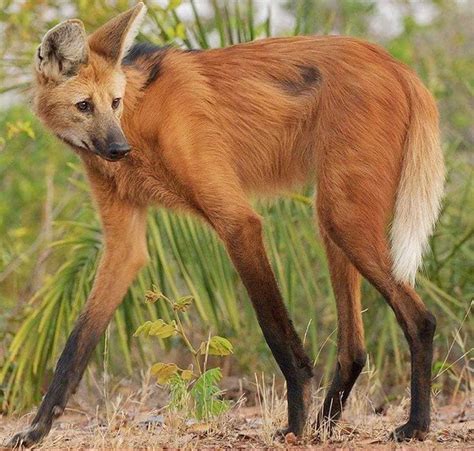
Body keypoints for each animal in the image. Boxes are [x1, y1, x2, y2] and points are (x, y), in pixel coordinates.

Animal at [7, 1, 444, 448]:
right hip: (333, 220)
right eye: (84, 106)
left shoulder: (238, 222)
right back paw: (327, 426)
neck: (141, 119)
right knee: (354, 348)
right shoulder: (123, 245)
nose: (117, 148)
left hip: (344, 219)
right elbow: (76, 344)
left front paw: (294, 425)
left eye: (114, 102)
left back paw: (414, 426)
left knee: (421, 319)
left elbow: (275, 331)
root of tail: (398, 65)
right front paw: (37, 430)